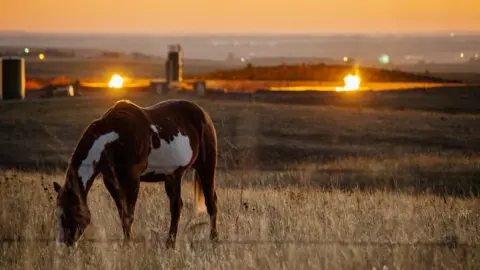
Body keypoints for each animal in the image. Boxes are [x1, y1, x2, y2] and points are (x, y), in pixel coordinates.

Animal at [51, 99, 219, 249]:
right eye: (58, 214)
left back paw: (213, 240)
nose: (65, 243)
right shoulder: (110, 181)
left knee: (211, 203)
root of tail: (203, 114)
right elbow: (122, 214)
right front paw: (127, 243)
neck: (112, 140)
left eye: (70, 212)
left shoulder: (132, 179)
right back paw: (170, 244)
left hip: (206, 167)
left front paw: (128, 246)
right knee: (177, 207)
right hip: (173, 176)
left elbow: (128, 215)